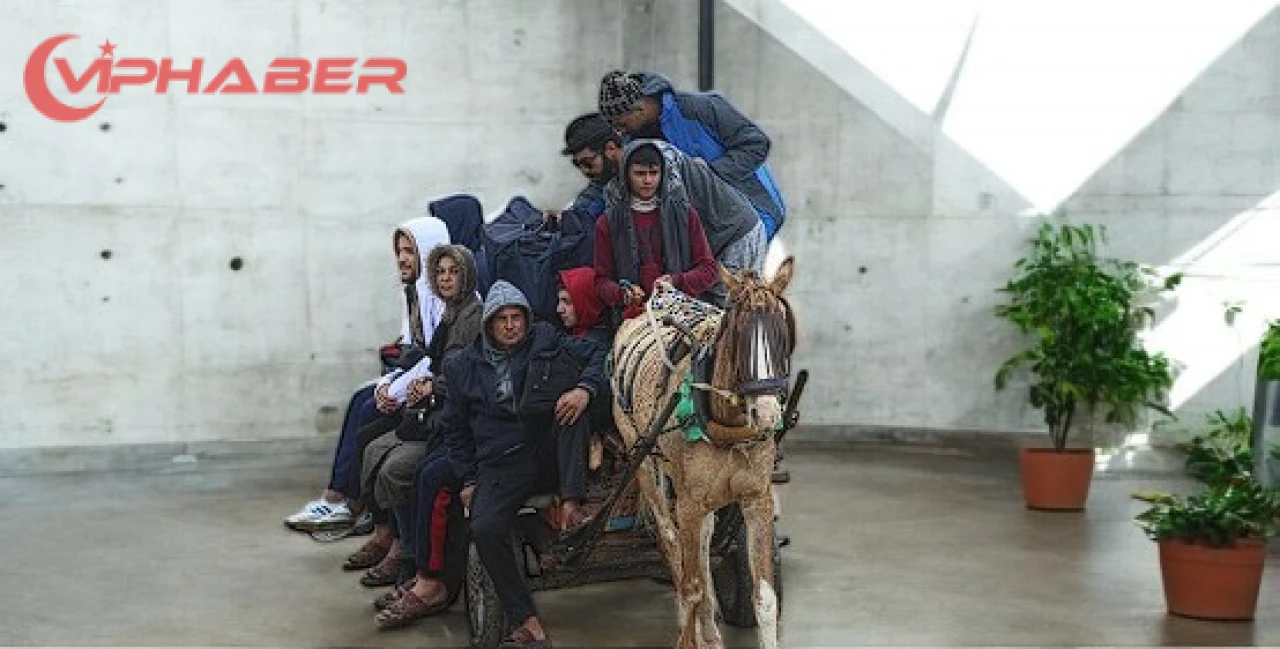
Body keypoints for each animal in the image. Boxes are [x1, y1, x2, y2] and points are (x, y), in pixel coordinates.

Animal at [604, 258, 793, 649]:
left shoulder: (757, 499)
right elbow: (691, 584)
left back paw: (710, 629)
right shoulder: (688, 503)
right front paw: (687, 633)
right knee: (671, 541)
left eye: (782, 335)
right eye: (738, 336)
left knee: (705, 545)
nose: (768, 416)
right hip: (645, 463)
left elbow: (764, 597)